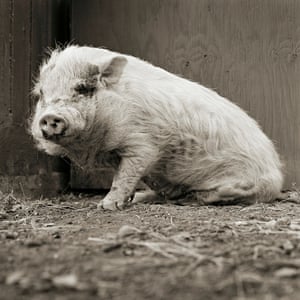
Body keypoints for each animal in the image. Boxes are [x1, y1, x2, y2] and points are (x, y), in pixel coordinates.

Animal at [29, 45, 284, 211]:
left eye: (82, 88)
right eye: (41, 93)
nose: (50, 117)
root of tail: (277, 173)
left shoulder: (143, 143)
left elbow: (126, 174)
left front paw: (106, 206)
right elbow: (125, 175)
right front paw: (128, 199)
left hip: (244, 184)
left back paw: (194, 198)